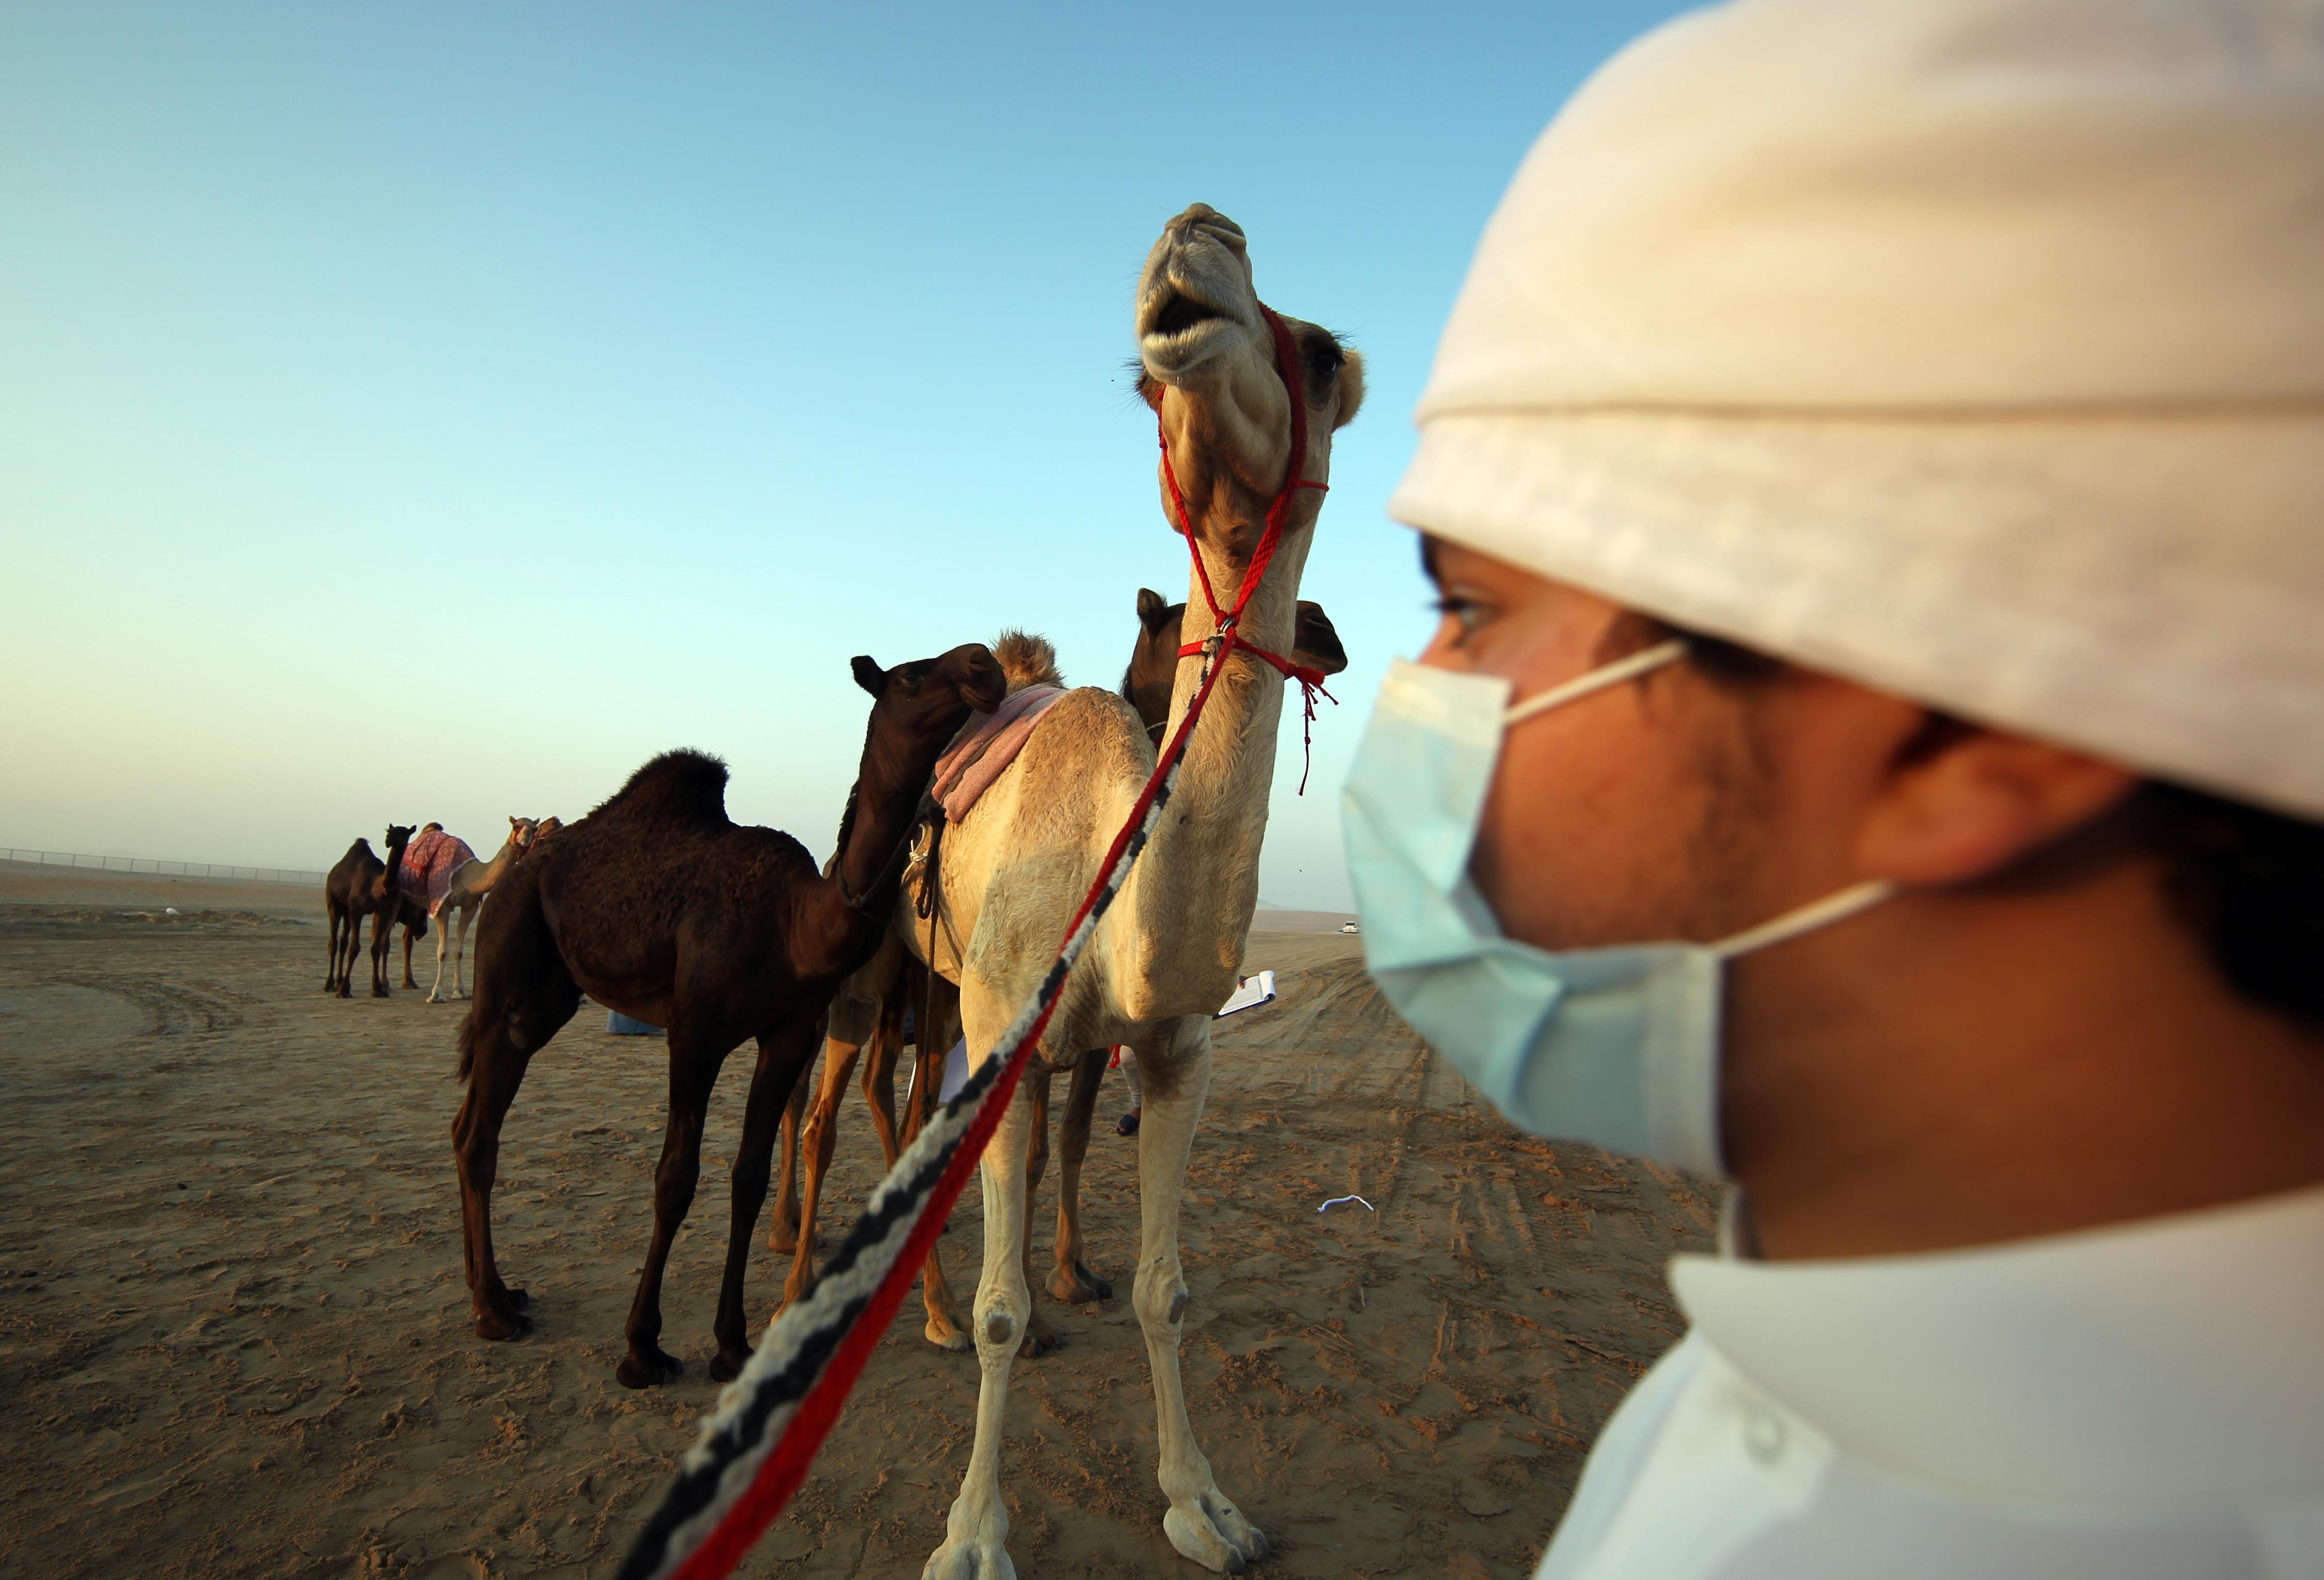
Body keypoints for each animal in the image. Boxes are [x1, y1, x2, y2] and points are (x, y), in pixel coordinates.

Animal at [425, 813, 537, 999]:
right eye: (516, 826)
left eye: (534, 829)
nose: (526, 837)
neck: (468, 877)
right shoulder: (442, 906)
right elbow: (442, 952)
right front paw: (436, 994)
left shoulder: (470, 907)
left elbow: (459, 951)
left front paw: (460, 992)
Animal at [448, 637, 1004, 1385]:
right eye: (912, 675)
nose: (984, 663)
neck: (798, 924)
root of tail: (510, 872)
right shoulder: (696, 1031)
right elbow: (675, 1178)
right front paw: (642, 1348)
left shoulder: (788, 1034)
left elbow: (748, 1175)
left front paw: (733, 1344)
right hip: (505, 967)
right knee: (479, 1131)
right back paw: (492, 1310)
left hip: (545, 1001)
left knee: (469, 1124)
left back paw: (502, 1292)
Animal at [906, 207, 1357, 1580]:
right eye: (1144, 385)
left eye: (1326, 354)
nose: (1197, 235)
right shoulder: (1000, 1031)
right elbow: (1001, 1317)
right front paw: (972, 1537)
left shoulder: (1174, 1048)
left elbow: (1171, 1290)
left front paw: (1201, 1503)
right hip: (913, 987)